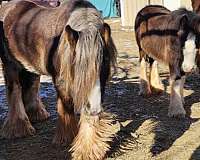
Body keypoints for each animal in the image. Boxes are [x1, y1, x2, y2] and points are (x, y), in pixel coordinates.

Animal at [0, 0, 117, 159]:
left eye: (104, 61)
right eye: (76, 64)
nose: (95, 109)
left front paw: (88, 150)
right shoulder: (62, 81)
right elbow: (65, 107)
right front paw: (66, 138)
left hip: (30, 67)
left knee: (32, 85)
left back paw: (37, 115)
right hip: (9, 63)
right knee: (15, 89)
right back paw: (19, 128)